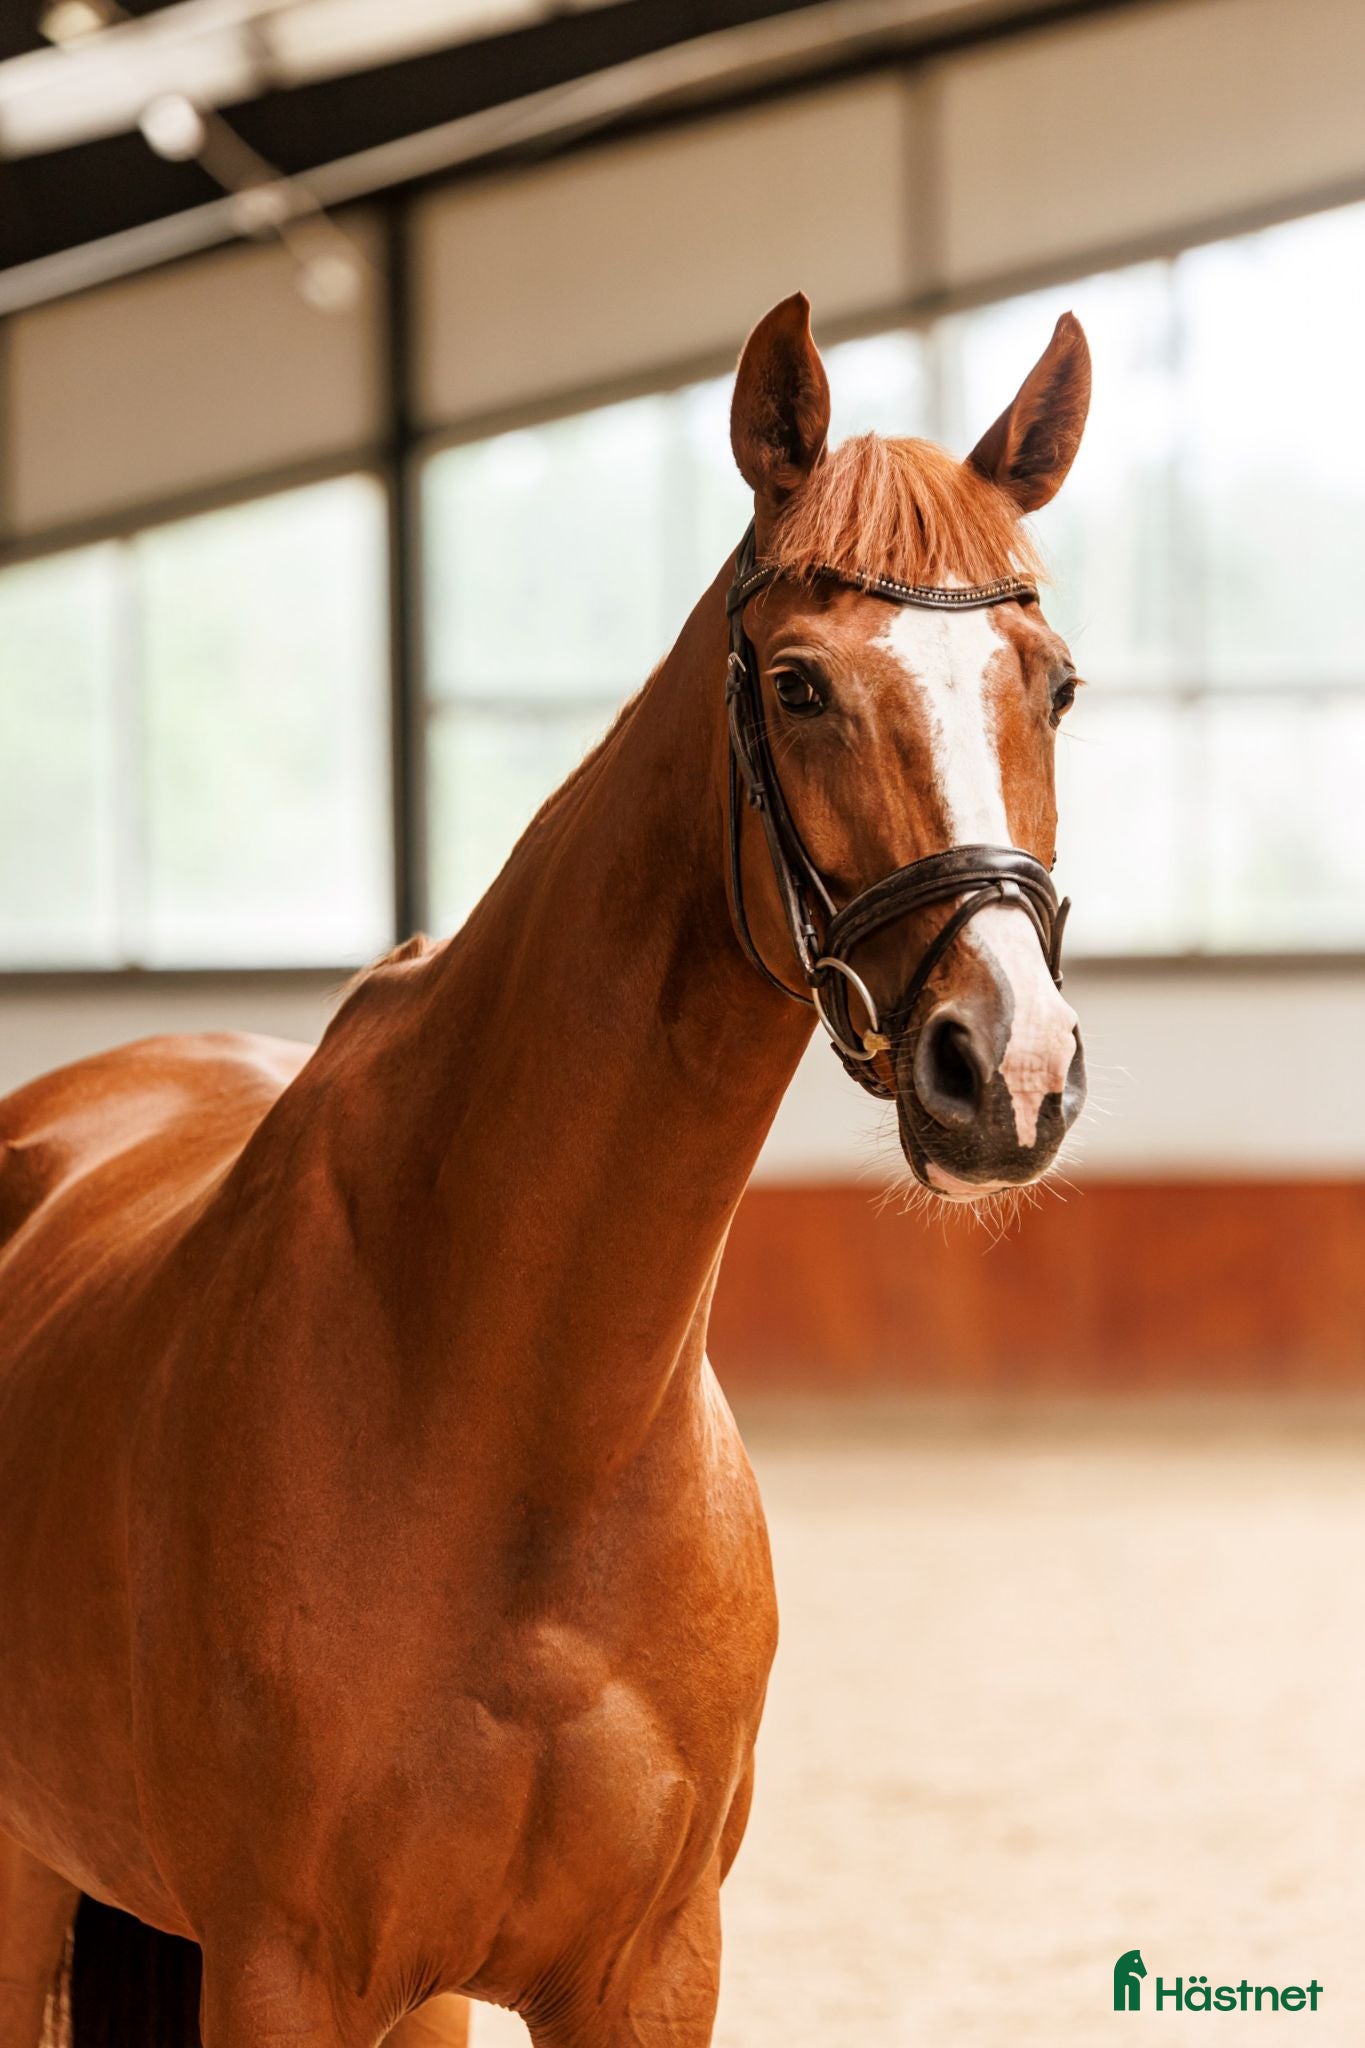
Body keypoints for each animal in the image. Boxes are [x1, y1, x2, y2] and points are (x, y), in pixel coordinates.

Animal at [0, 290, 1091, 2048]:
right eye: (799, 687)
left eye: (1051, 686)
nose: (1009, 1072)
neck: (513, 1414)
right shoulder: (279, 1969)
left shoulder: (647, 1968)